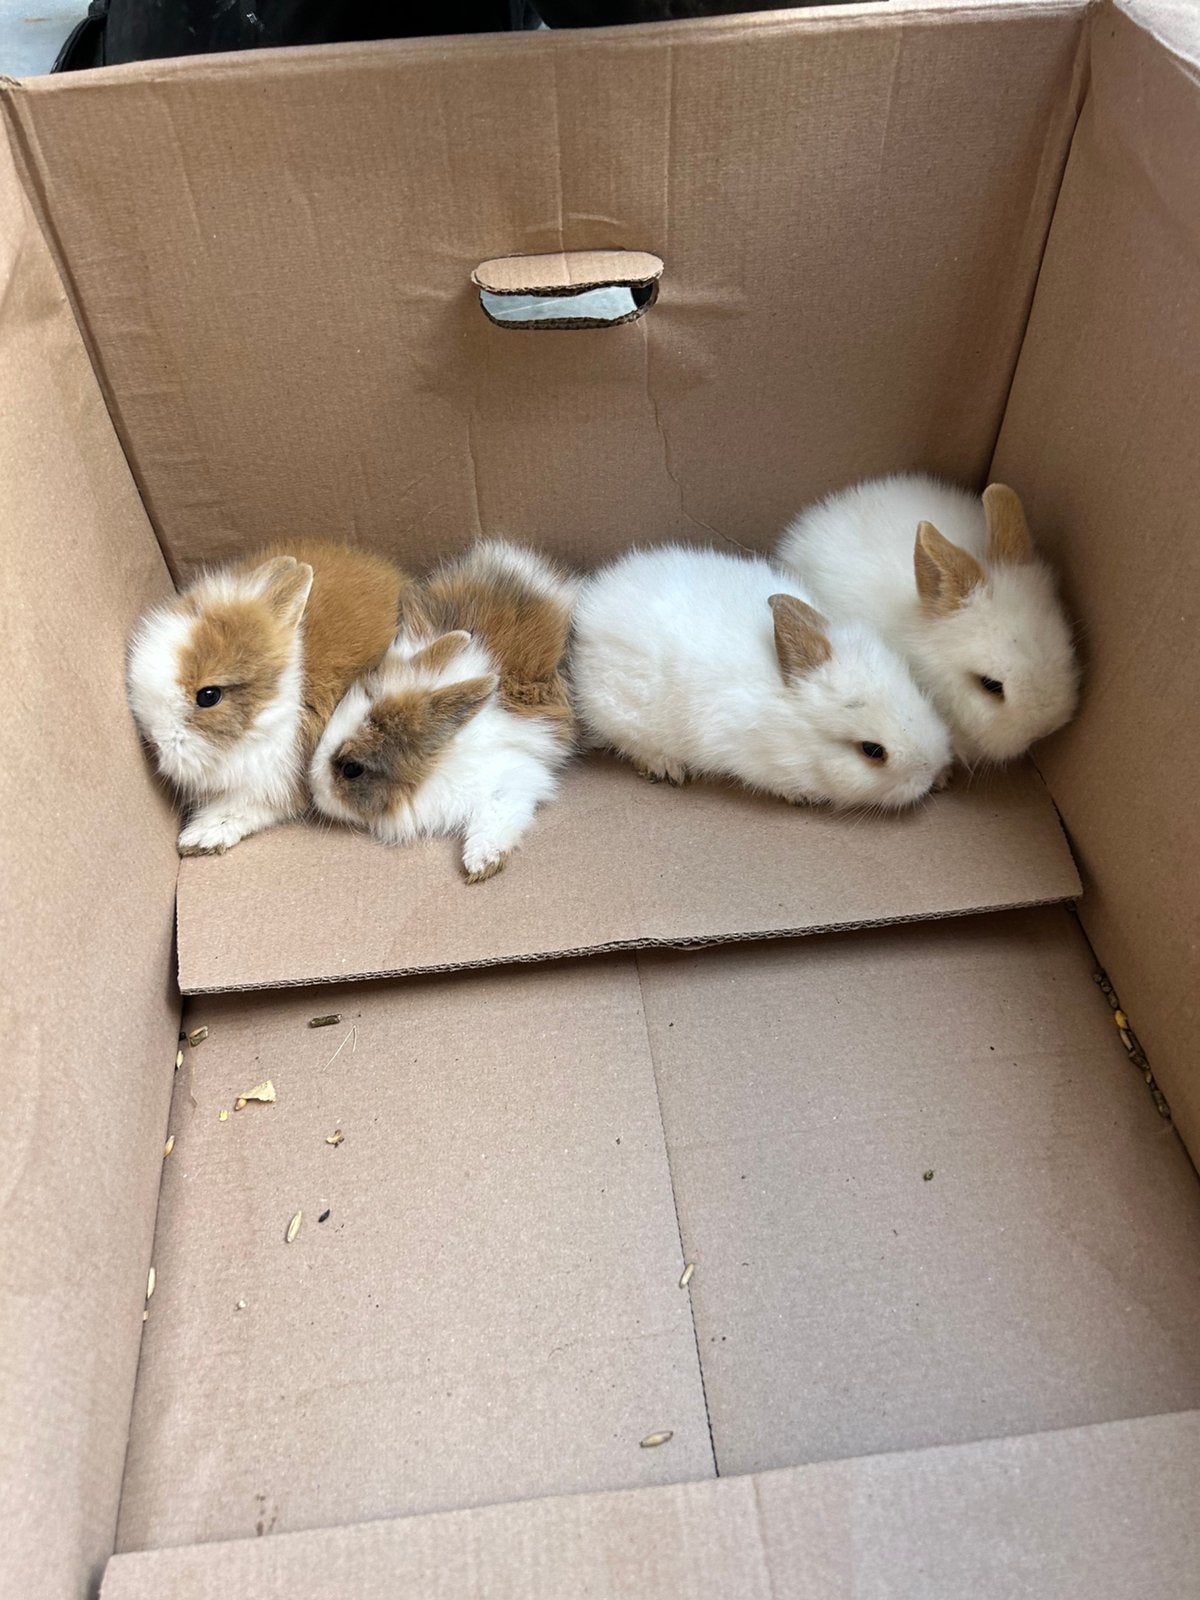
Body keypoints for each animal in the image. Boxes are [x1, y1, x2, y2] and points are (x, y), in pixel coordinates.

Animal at [127, 540, 412, 855]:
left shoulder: (275, 779)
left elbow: (241, 810)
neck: (269, 710)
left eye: (209, 696)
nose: (153, 739)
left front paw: (199, 839)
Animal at [309, 540, 577, 882]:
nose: (313, 790)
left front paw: (480, 865)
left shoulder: (515, 777)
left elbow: (496, 817)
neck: (437, 762)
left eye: (352, 769)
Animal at [570, 544, 952, 810]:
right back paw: (665, 767)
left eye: (918, 690)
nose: (930, 773)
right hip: (623, 717)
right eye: (872, 751)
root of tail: (591, 612)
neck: (794, 733)